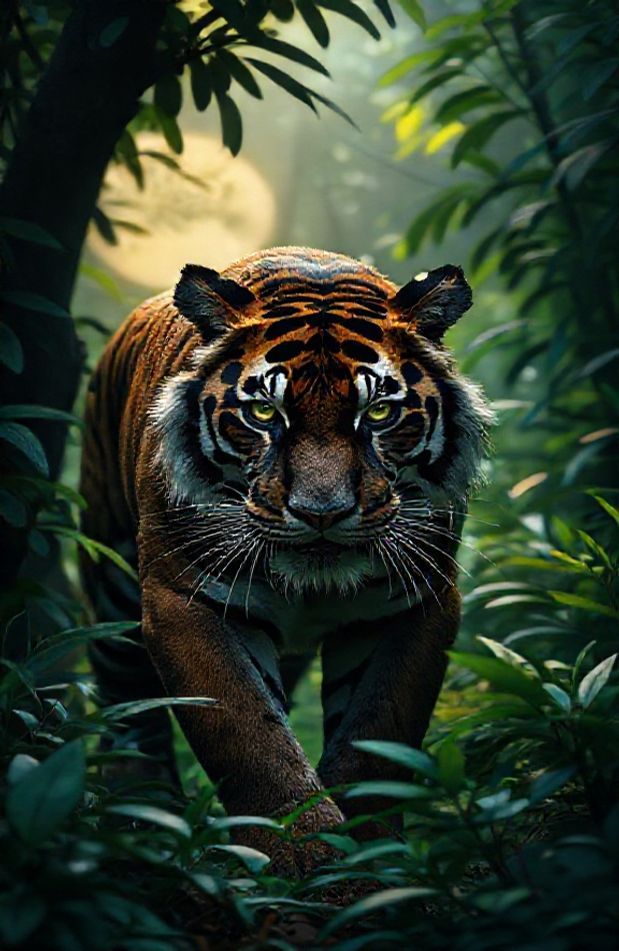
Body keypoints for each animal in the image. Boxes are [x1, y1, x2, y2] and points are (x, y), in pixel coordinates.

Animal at [80, 246, 491, 875]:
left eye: (378, 414)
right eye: (265, 414)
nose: (322, 512)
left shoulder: (415, 603)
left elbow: (376, 737)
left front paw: (371, 862)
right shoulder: (186, 598)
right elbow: (252, 738)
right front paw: (307, 858)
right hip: (112, 584)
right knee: (130, 704)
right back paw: (139, 815)